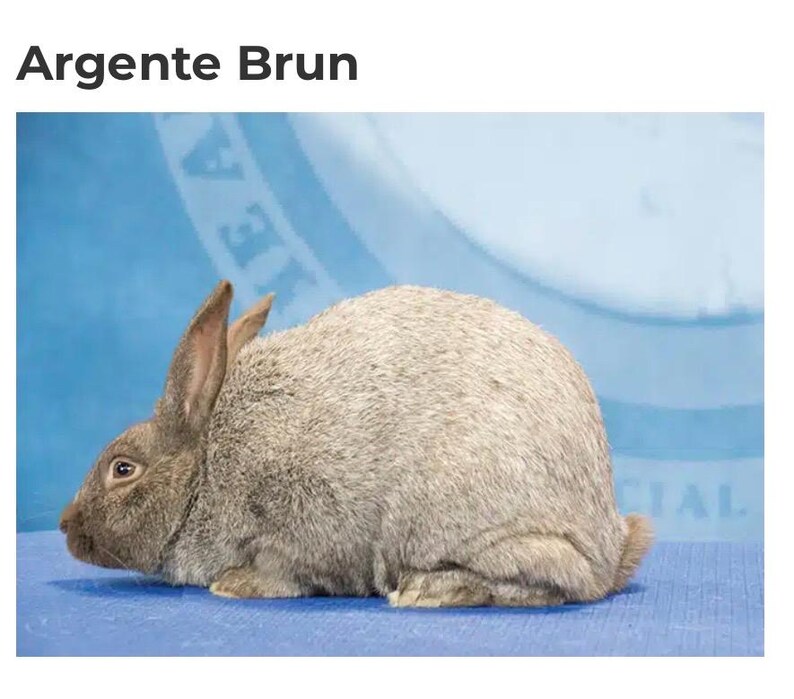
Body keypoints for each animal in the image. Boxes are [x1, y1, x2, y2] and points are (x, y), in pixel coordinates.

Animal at [60, 280, 653, 607]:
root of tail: (610, 543)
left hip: (444, 522)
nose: (66, 526)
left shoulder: (301, 518)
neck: (204, 467)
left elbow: (288, 571)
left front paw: (235, 584)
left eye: (122, 469)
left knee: (562, 581)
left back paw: (427, 592)